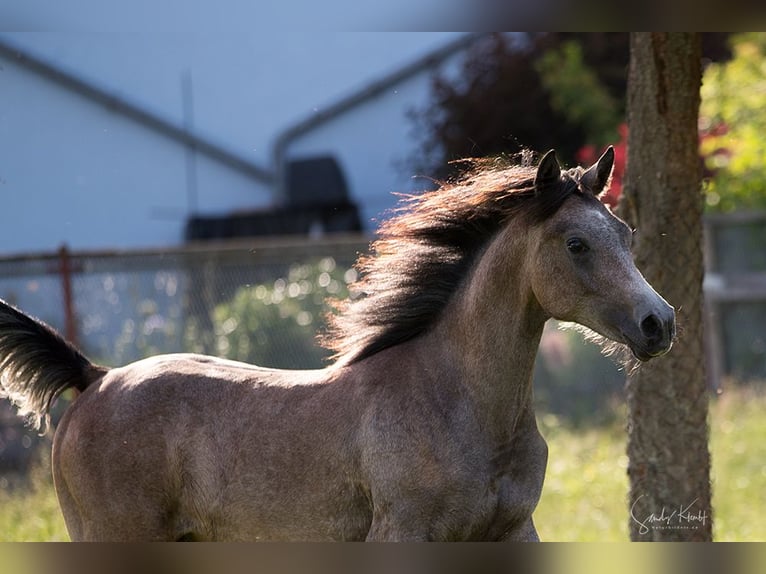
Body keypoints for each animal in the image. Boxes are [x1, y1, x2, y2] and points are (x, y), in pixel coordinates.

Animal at [0, 147, 675, 541]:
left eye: (625, 232)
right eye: (576, 244)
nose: (659, 323)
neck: (457, 404)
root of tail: (96, 379)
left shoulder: (511, 533)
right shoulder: (403, 536)